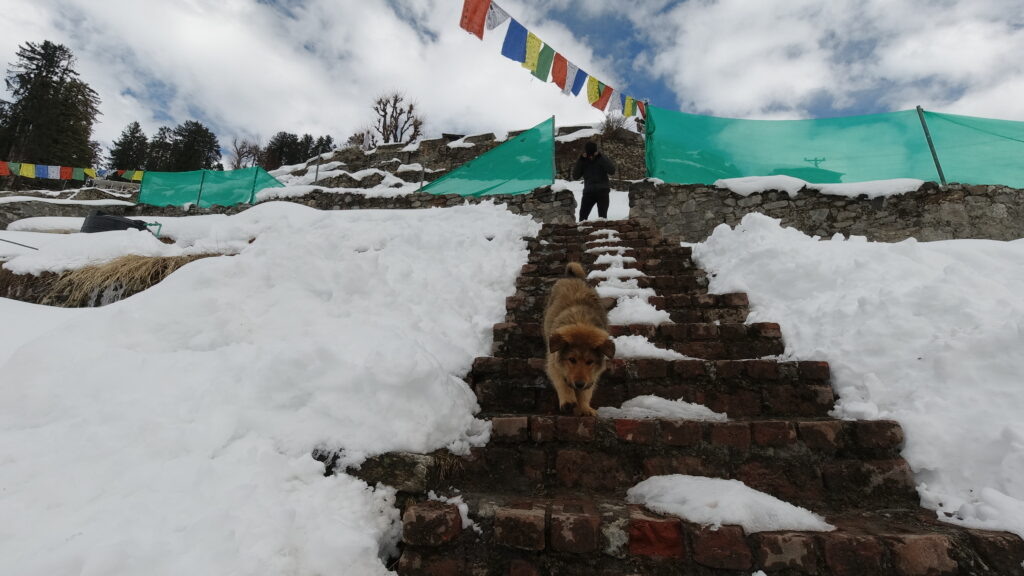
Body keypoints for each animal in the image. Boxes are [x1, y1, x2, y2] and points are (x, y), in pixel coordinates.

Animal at [544, 260, 614, 412]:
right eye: (572, 359)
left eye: (590, 361)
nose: (579, 384)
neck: (581, 322)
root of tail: (573, 277)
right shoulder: (553, 361)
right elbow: (561, 381)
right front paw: (568, 400)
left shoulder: (592, 375)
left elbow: (587, 391)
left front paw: (585, 408)